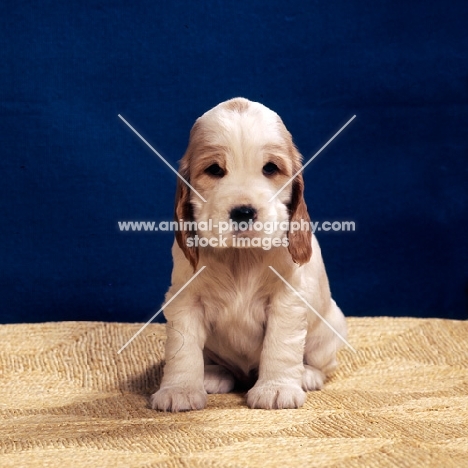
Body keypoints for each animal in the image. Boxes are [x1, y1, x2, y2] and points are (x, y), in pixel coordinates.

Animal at [151, 98, 348, 410]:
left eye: (270, 168)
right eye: (215, 169)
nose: (243, 212)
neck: (240, 257)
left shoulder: (286, 300)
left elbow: (280, 345)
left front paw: (276, 389)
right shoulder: (185, 299)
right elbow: (183, 348)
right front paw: (179, 390)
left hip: (329, 330)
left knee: (322, 362)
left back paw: (307, 375)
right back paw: (213, 374)